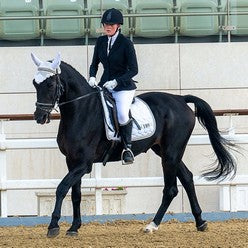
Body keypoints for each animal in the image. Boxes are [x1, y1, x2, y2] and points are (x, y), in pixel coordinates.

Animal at [31, 53, 236, 236]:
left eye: (50, 84)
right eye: (35, 83)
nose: (39, 117)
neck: (81, 111)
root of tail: (180, 99)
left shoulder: (83, 164)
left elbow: (61, 188)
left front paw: (53, 226)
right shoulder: (72, 161)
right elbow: (75, 194)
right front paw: (74, 228)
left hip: (171, 152)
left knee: (171, 189)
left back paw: (152, 226)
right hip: (164, 151)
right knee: (187, 178)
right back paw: (200, 222)